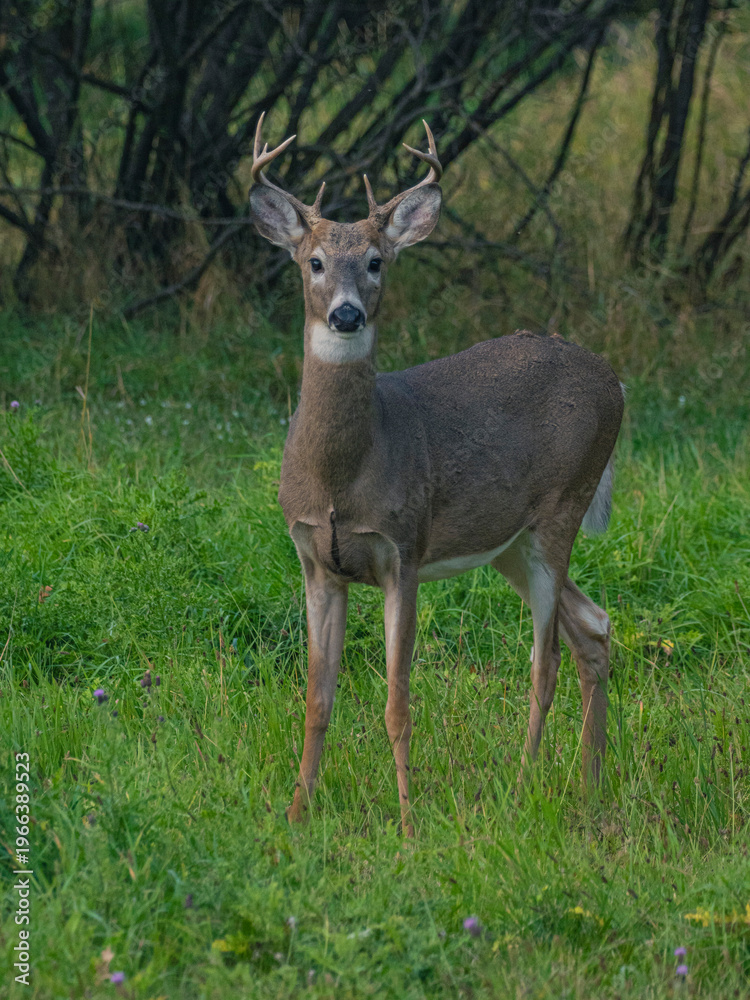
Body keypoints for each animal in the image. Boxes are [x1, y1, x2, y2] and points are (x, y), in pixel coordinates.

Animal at [249, 114, 624, 837]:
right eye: (313, 261)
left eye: (375, 261)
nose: (345, 313)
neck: (342, 480)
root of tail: (615, 379)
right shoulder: (313, 559)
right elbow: (316, 700)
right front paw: (295, 813)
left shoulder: (404, 550)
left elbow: (398, 703)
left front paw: (407, 823)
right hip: (509, 541)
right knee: (593, 628)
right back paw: (591, 786)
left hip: (561, 508)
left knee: (545, 661)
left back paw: (524, 787)